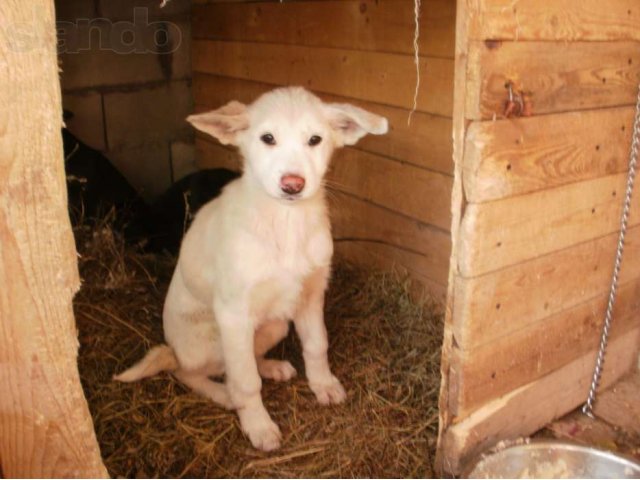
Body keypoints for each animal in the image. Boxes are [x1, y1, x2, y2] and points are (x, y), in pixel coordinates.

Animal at [115, 88, 390, 452]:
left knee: (247, 359)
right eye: (267, 138)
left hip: (275, 324)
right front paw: (258, 426)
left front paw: (323, 384)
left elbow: (317, 345)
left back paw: (271, 367)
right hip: (211, 339)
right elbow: (246, 382)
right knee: (191, 372)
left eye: (315, 140)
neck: (285, 223)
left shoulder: (312, 295)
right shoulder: (233, 315)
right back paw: (222, 393)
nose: (292, 184)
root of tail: (173, 348)